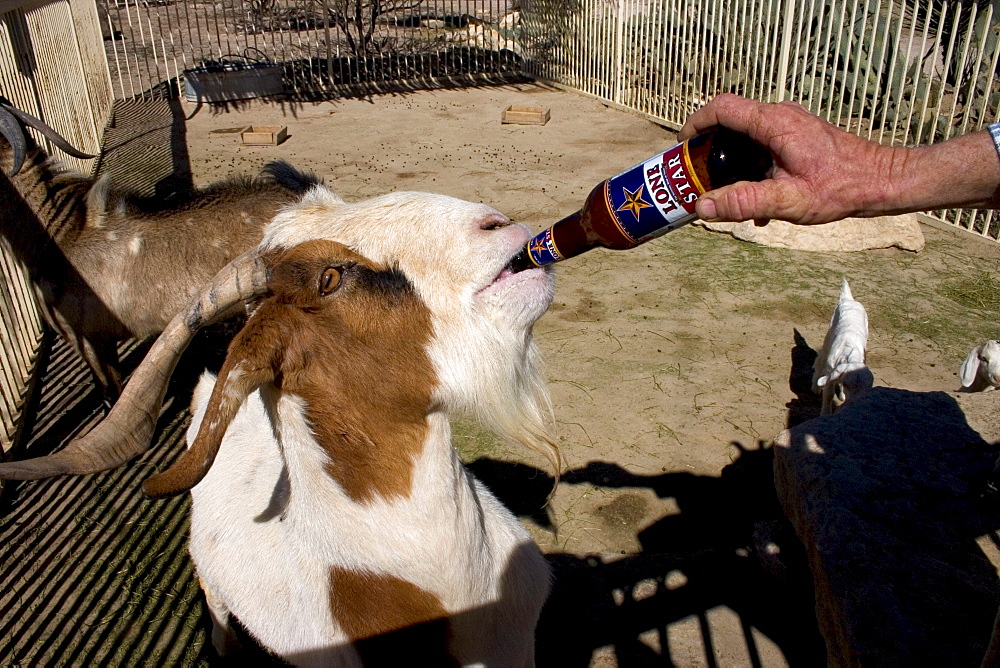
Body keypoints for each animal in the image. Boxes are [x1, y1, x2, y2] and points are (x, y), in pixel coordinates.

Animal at [812, 278, 876, 414]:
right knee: (820, 360)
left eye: (866, 388)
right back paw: (815, 387)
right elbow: (828, 395)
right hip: (828, 336)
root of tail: (849, 300)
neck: (851, 353)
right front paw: (825, 413)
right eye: (848, 384)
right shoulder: (830, 371)